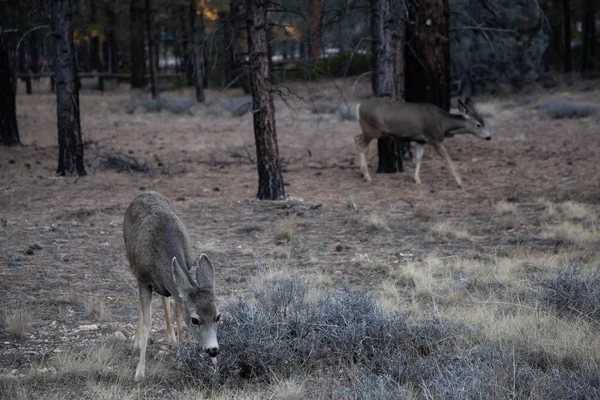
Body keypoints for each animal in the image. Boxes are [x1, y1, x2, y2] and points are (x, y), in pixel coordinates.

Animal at [122, 192, 220, 382]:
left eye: (218, 316)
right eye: (195, 320)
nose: (213, 350)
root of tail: (143, 194)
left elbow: (178, 313)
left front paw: (182, 349)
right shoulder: (143, 279)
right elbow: (147, 322)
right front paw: (140, 372)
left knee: (165, 298)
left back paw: (171, 339)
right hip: (133, 265)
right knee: (140, 303)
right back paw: (137, 343)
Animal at [354, 97, 490, 187]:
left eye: (484, 121)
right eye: (478, 124)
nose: (489, 137)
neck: (443, 123)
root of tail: (359, 106)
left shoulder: (421, 140)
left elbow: (419, 158)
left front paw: (417, 179)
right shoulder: (434, 138)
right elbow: (447, 158)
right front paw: (460, 181)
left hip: (369, 130)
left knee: (356, 138)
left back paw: (363, 174)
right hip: (372, 129)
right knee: (360, 144)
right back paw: (367, 176)